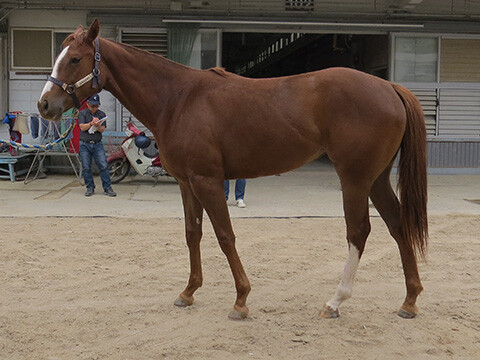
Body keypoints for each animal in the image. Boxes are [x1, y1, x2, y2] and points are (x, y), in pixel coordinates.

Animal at [37, 19, 428, 320]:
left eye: (74, 59)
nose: (44, 105)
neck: (178, 100)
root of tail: (389, 86)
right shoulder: (187, 183)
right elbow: (192, 233)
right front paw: (189, 291)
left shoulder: (207, 181)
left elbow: (225, 236)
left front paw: (241, 300)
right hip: (375, 179)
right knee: (397, 224)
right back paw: (409, 300)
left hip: (355, 179)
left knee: (359, 231)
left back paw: (335, 301)